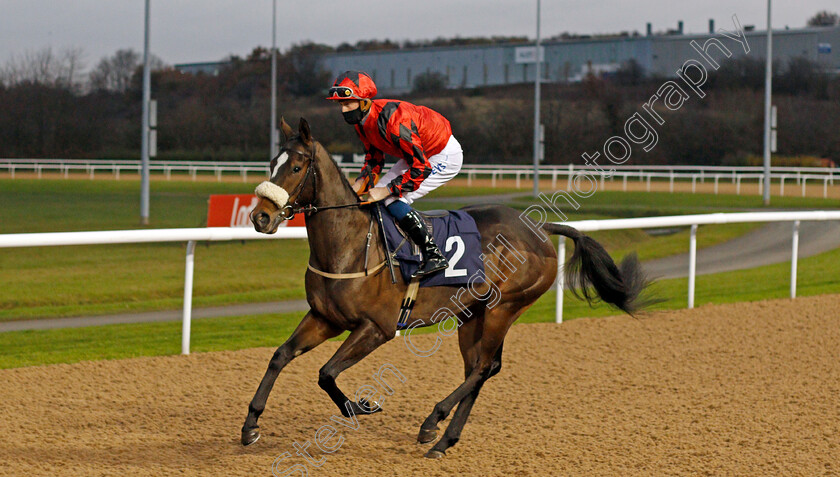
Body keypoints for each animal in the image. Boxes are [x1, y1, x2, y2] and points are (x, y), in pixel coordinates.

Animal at [243, 116, 648, 458]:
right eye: (271, 164)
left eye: (296, 167)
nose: (260, 216)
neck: (351, 245)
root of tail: (537, 228)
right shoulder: (325, 317)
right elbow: (281, 355)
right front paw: (250, 426)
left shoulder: (377, 328)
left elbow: (327, 372)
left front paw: (361, 406)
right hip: (472, 312)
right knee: (480, 368)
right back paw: (443, 438)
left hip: (505, 307)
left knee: (483, 368)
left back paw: (432, 423)